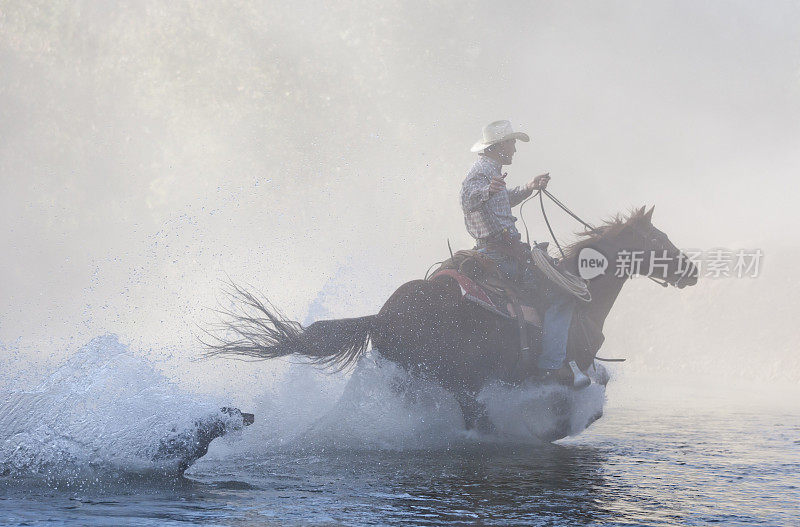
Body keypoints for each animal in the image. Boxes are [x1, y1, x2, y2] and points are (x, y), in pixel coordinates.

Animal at [205, 206, 692, 438]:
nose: (691, 270)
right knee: (477, 420)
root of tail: (382, 315)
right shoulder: (562, 368)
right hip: (462, 383)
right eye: (658, 237)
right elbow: (587, 392)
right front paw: (562, 426)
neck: (579, 295)